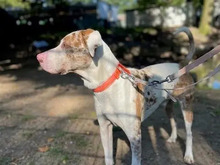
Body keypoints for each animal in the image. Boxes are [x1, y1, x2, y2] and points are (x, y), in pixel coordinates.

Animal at [37, 27, 195, 164]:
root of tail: (180, 65)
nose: (38, 57)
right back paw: (173, 137)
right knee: (173, 119)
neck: (109, 85)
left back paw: (188, 155)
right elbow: (108, 158)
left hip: (187, 106)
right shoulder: (105, 128)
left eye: (65, 44)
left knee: (189, 132)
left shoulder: (135, 137)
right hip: (168, 105)